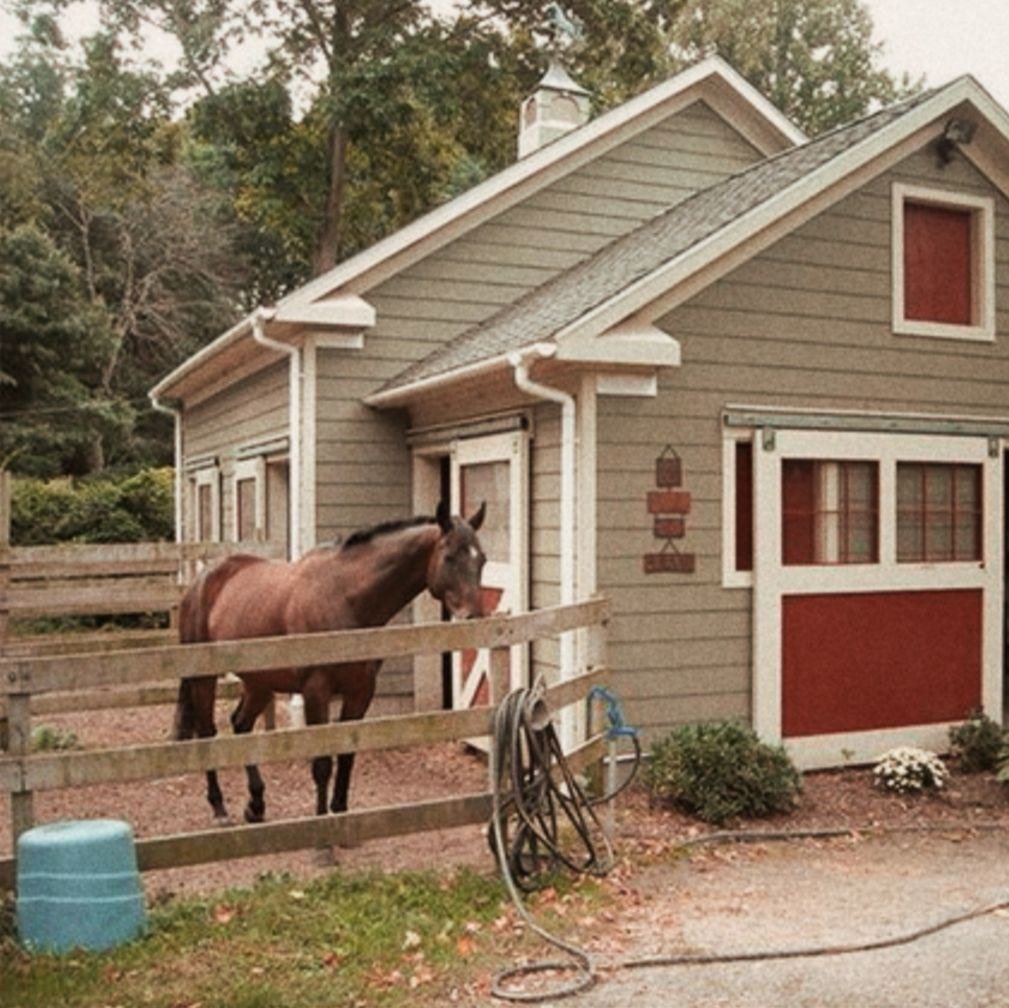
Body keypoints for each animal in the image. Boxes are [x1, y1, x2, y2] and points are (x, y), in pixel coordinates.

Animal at [175, 502, 486, 827]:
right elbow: (322, 762)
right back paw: (219, 809)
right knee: (207, 733)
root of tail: (203, 580)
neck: (344, 597)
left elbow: (346, 754)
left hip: (259, 682)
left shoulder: (361, 692)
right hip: (204, 679)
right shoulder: (316, 691)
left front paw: (340, 812)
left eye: (482, 559)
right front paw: (322, 822)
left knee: (240, 725)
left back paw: (256, 804)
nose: (473, 617)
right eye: (449, 557)